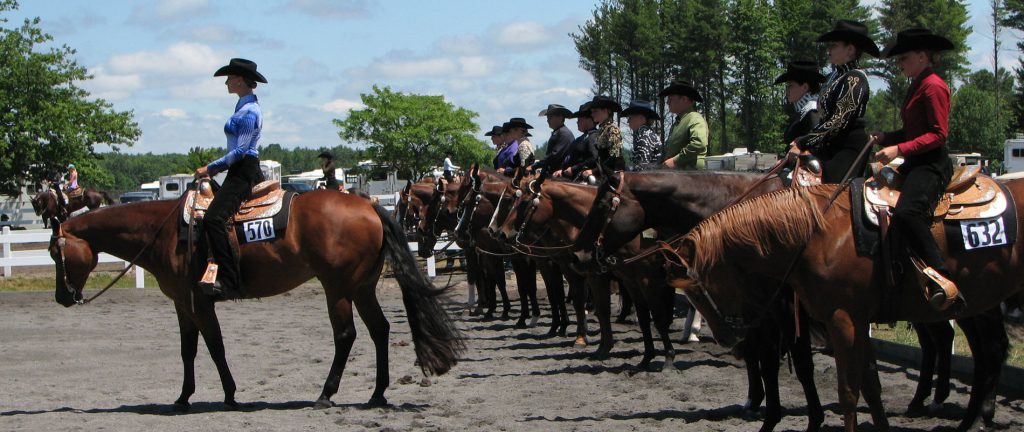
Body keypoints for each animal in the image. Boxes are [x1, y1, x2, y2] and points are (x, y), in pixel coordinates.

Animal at [47, 190, 464, 410]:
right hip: (361, 287)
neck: (163, 232)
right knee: (380, 330)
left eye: (54, 251)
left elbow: (214, 346)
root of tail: (369, 205)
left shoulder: (199, 303)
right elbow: (188, 350)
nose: (62, 297)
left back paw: (325, 395)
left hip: (338, 288)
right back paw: (377, 394)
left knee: (346, 336)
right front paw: (182, 397)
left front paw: (230, 395)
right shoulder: (182, 303)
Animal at [666, 183, 1022, 431]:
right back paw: (969, 418)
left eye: (699, 286)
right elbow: (870, 386)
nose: (725, 337)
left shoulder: (841, 321)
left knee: (983, 351)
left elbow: (847, 391)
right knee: (985, 352)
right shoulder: (854, 322)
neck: (815, 236)